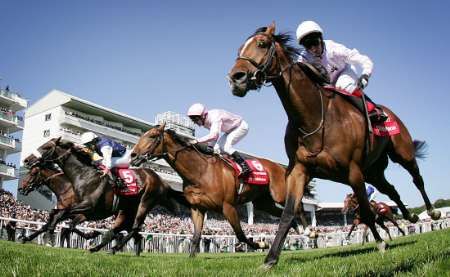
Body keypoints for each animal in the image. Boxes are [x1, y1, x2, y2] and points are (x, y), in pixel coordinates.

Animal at [229, 23, 440, 268]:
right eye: (239, 48)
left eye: (262, 44)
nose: (235, 78)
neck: (312, 118)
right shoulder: (299, 170)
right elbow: (288, 214)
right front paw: (270, 259)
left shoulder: (353, 171)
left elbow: (366, 212)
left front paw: (380, 244)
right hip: (374, 172)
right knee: (391, 190)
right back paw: (410, 216)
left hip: (401, 153)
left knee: (417, 178)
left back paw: (432, 211)